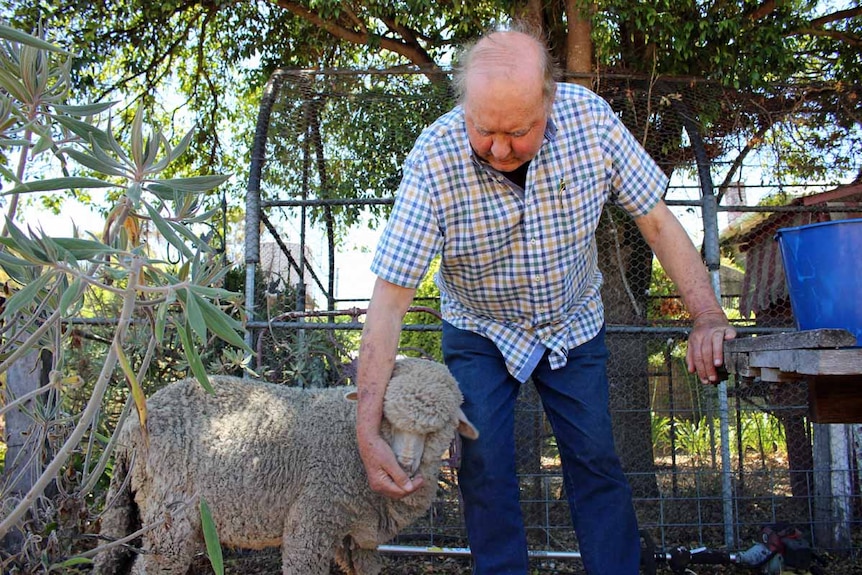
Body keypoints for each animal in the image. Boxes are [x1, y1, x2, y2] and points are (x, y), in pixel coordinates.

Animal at [93, 358, 480, 572]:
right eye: (387, 416)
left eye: (437, 429)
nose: (404, 463)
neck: (354, 439)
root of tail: (130, 426)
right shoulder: (312, 516)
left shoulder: (358, 538)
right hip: (169, 511)